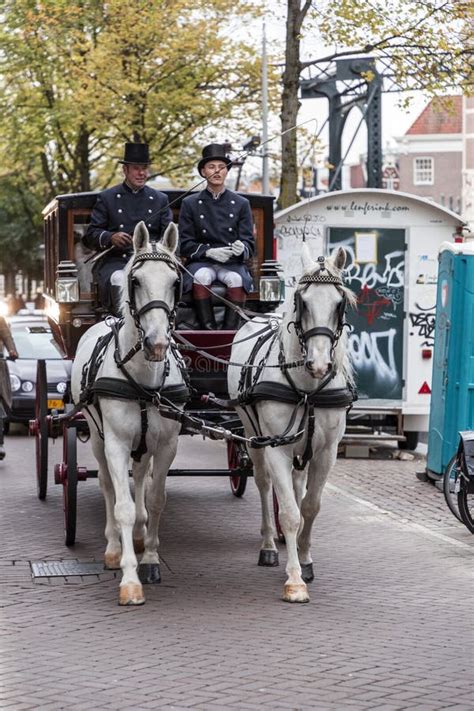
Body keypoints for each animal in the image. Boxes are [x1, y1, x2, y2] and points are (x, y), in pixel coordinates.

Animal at [72, 222, 187, 608]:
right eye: (135, 281)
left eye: (176, 281)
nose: (157, 343)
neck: (143, 379)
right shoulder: (117, 443)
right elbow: (121, 504)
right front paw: (130, 579)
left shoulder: (165, 445)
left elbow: (155, 499)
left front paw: (149, 557)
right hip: (97, 438)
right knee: (109, 486)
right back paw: (112, 548)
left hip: (145, 445)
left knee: (139, 482)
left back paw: (136, 537)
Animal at [227, 245, 356, 600]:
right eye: (302, 301)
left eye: (339, 303)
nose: (319, 363)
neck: (308, 389)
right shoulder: (276, 448)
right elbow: (287, 511)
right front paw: (295, 579)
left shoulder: (326, 452)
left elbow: (310, 507)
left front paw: (306, 559)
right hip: (252, 435)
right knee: (263, 483)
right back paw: (270, 546)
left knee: (297, 487)